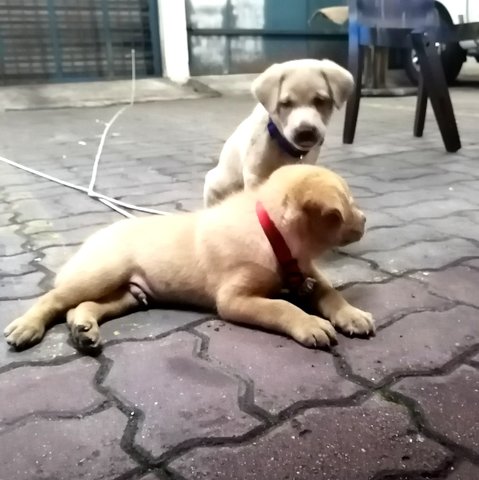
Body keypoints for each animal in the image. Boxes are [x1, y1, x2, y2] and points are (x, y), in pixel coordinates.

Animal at [5, 163, 376, 350]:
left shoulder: (307, 272)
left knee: (83, 306)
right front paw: (310, 323)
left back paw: (84, 329)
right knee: (53, 298)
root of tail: (92, 238)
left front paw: (352, 315)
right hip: (102, 272)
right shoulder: (234, 299)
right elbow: (282, 307)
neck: (274, 236)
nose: (366, 219)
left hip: (127, 293)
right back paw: (26, 327)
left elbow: (330, 292)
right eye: (348, 203)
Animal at [204, 57, 354, 206]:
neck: (285, 146)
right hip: (216, 183)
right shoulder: (255, 176)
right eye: (286, 103)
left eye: (320, 100)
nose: (305, 132)